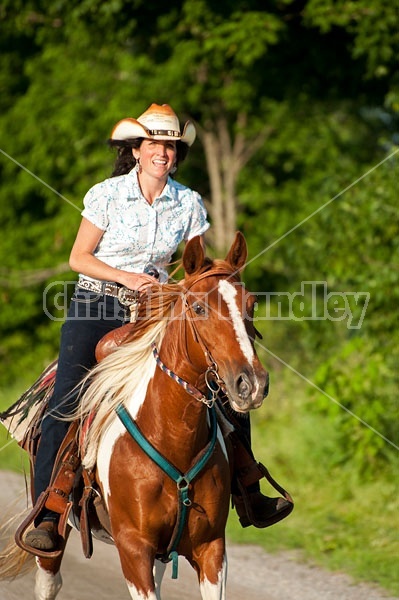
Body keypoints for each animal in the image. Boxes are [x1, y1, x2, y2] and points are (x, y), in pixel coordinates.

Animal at [0, 231, 268, 600]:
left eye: (251, 304)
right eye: (199, 307)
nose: (251, 384)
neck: (172, 435)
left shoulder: (211, 548)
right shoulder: (133, 548)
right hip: (54, 537)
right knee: (48, 581)